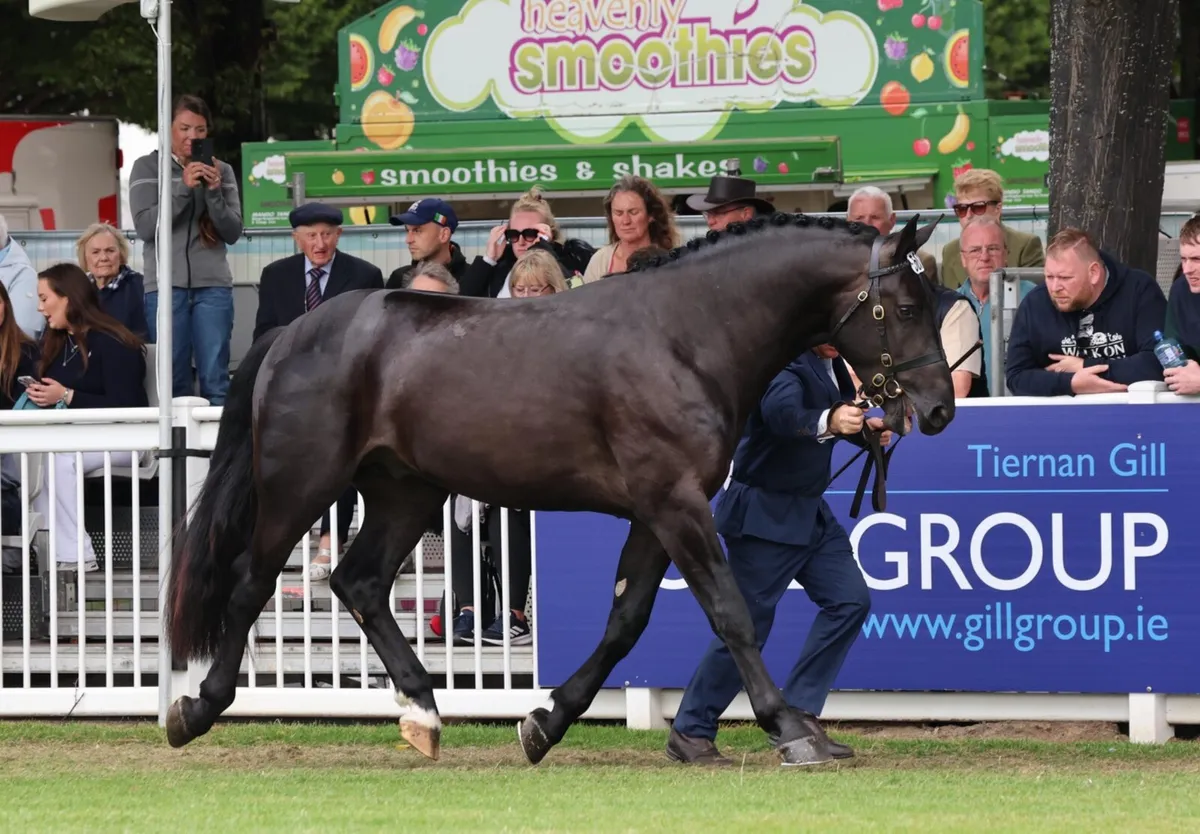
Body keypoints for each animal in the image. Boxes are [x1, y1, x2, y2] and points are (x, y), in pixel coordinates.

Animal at [163, 211, 955, 767]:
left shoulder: (657, 511)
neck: (685, 336)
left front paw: (544, 722)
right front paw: (792, 728)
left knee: (359, 582)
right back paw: (196, 709)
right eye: (904, 307)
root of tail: (294, 333)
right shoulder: (675, 504)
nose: (940, 407)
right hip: (300, 484)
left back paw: (423, 713)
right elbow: (732, 613)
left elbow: (626, 619)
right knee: (251, 581)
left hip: (405, 492)